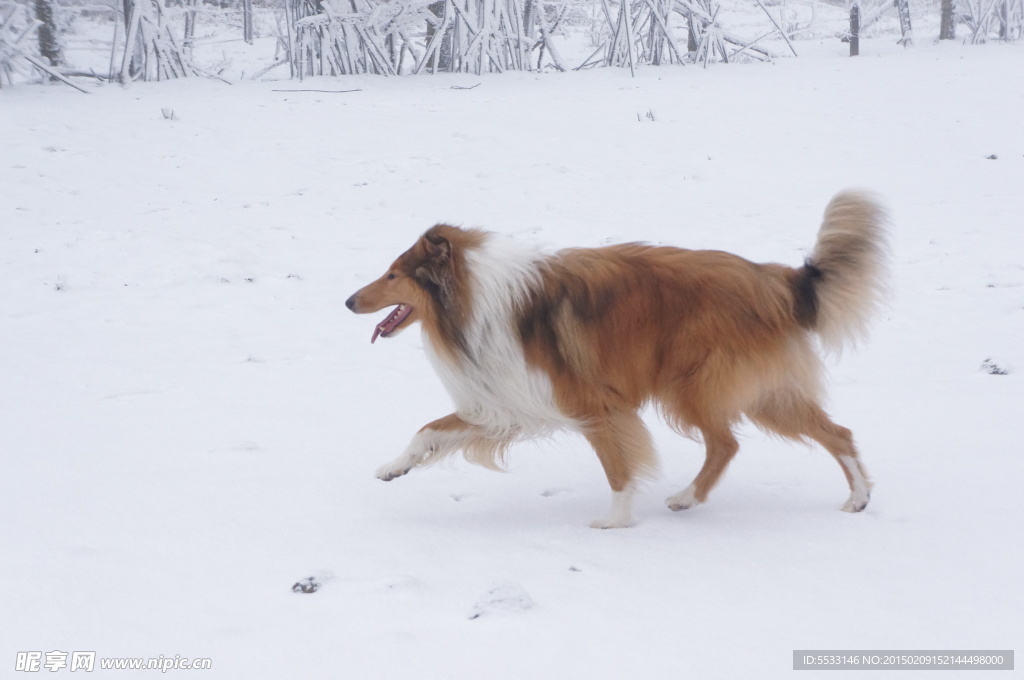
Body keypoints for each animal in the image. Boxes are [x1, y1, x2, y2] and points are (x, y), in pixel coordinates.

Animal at [346, 191, 888, 532]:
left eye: (393, 275)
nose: (349, 301)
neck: (472, 300)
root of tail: (775, 278)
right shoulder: (503, 400)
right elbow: (429, 430)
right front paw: (394, 467)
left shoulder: (596, 406)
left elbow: (617, 468)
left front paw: (616, 520)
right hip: (756, 392)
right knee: (832, 433)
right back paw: (857, 497)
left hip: (694, 386)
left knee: (729, 443)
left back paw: (687, 497)